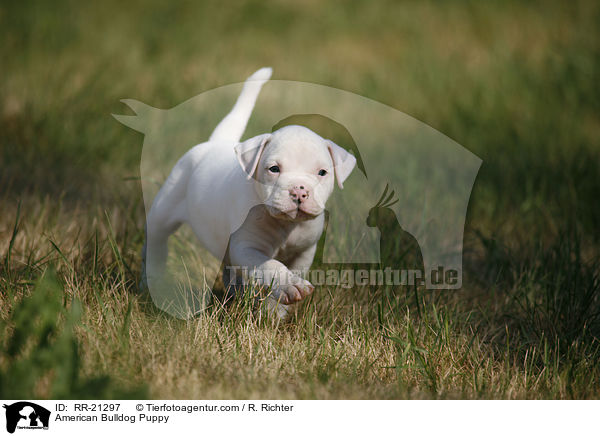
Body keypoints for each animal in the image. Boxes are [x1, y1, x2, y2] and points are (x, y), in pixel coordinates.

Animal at [142, 66, 354, 316]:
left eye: (322, 172)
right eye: (274, 169)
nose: (299, 192)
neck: (286, 225)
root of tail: (215, 142)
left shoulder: (304, 252)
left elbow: (288, 273)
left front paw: (276, 309)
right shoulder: (246, 247)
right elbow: (271, 265)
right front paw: (288, 285)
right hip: (167, 204)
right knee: (156, 238)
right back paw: (151, 279)